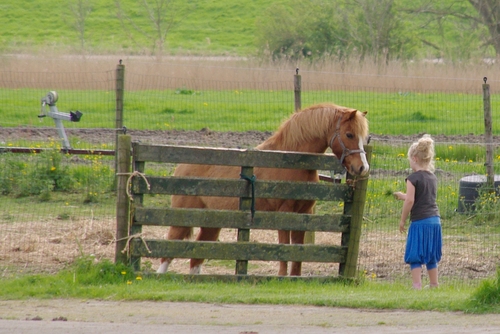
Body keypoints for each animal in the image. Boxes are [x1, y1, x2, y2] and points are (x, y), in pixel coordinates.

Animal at [158, 103, 370, 276]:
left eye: (364, 137)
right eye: (349, 134)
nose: (362, 168)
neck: (291, 162)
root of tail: (182, 166)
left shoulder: (304, 214)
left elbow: (298, 251)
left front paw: (295, 277)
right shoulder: (284, 213)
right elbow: (284, 247)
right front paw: (282, 276)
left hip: (212, 222)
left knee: (196, 258)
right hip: (183, 217)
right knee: (168, 251)